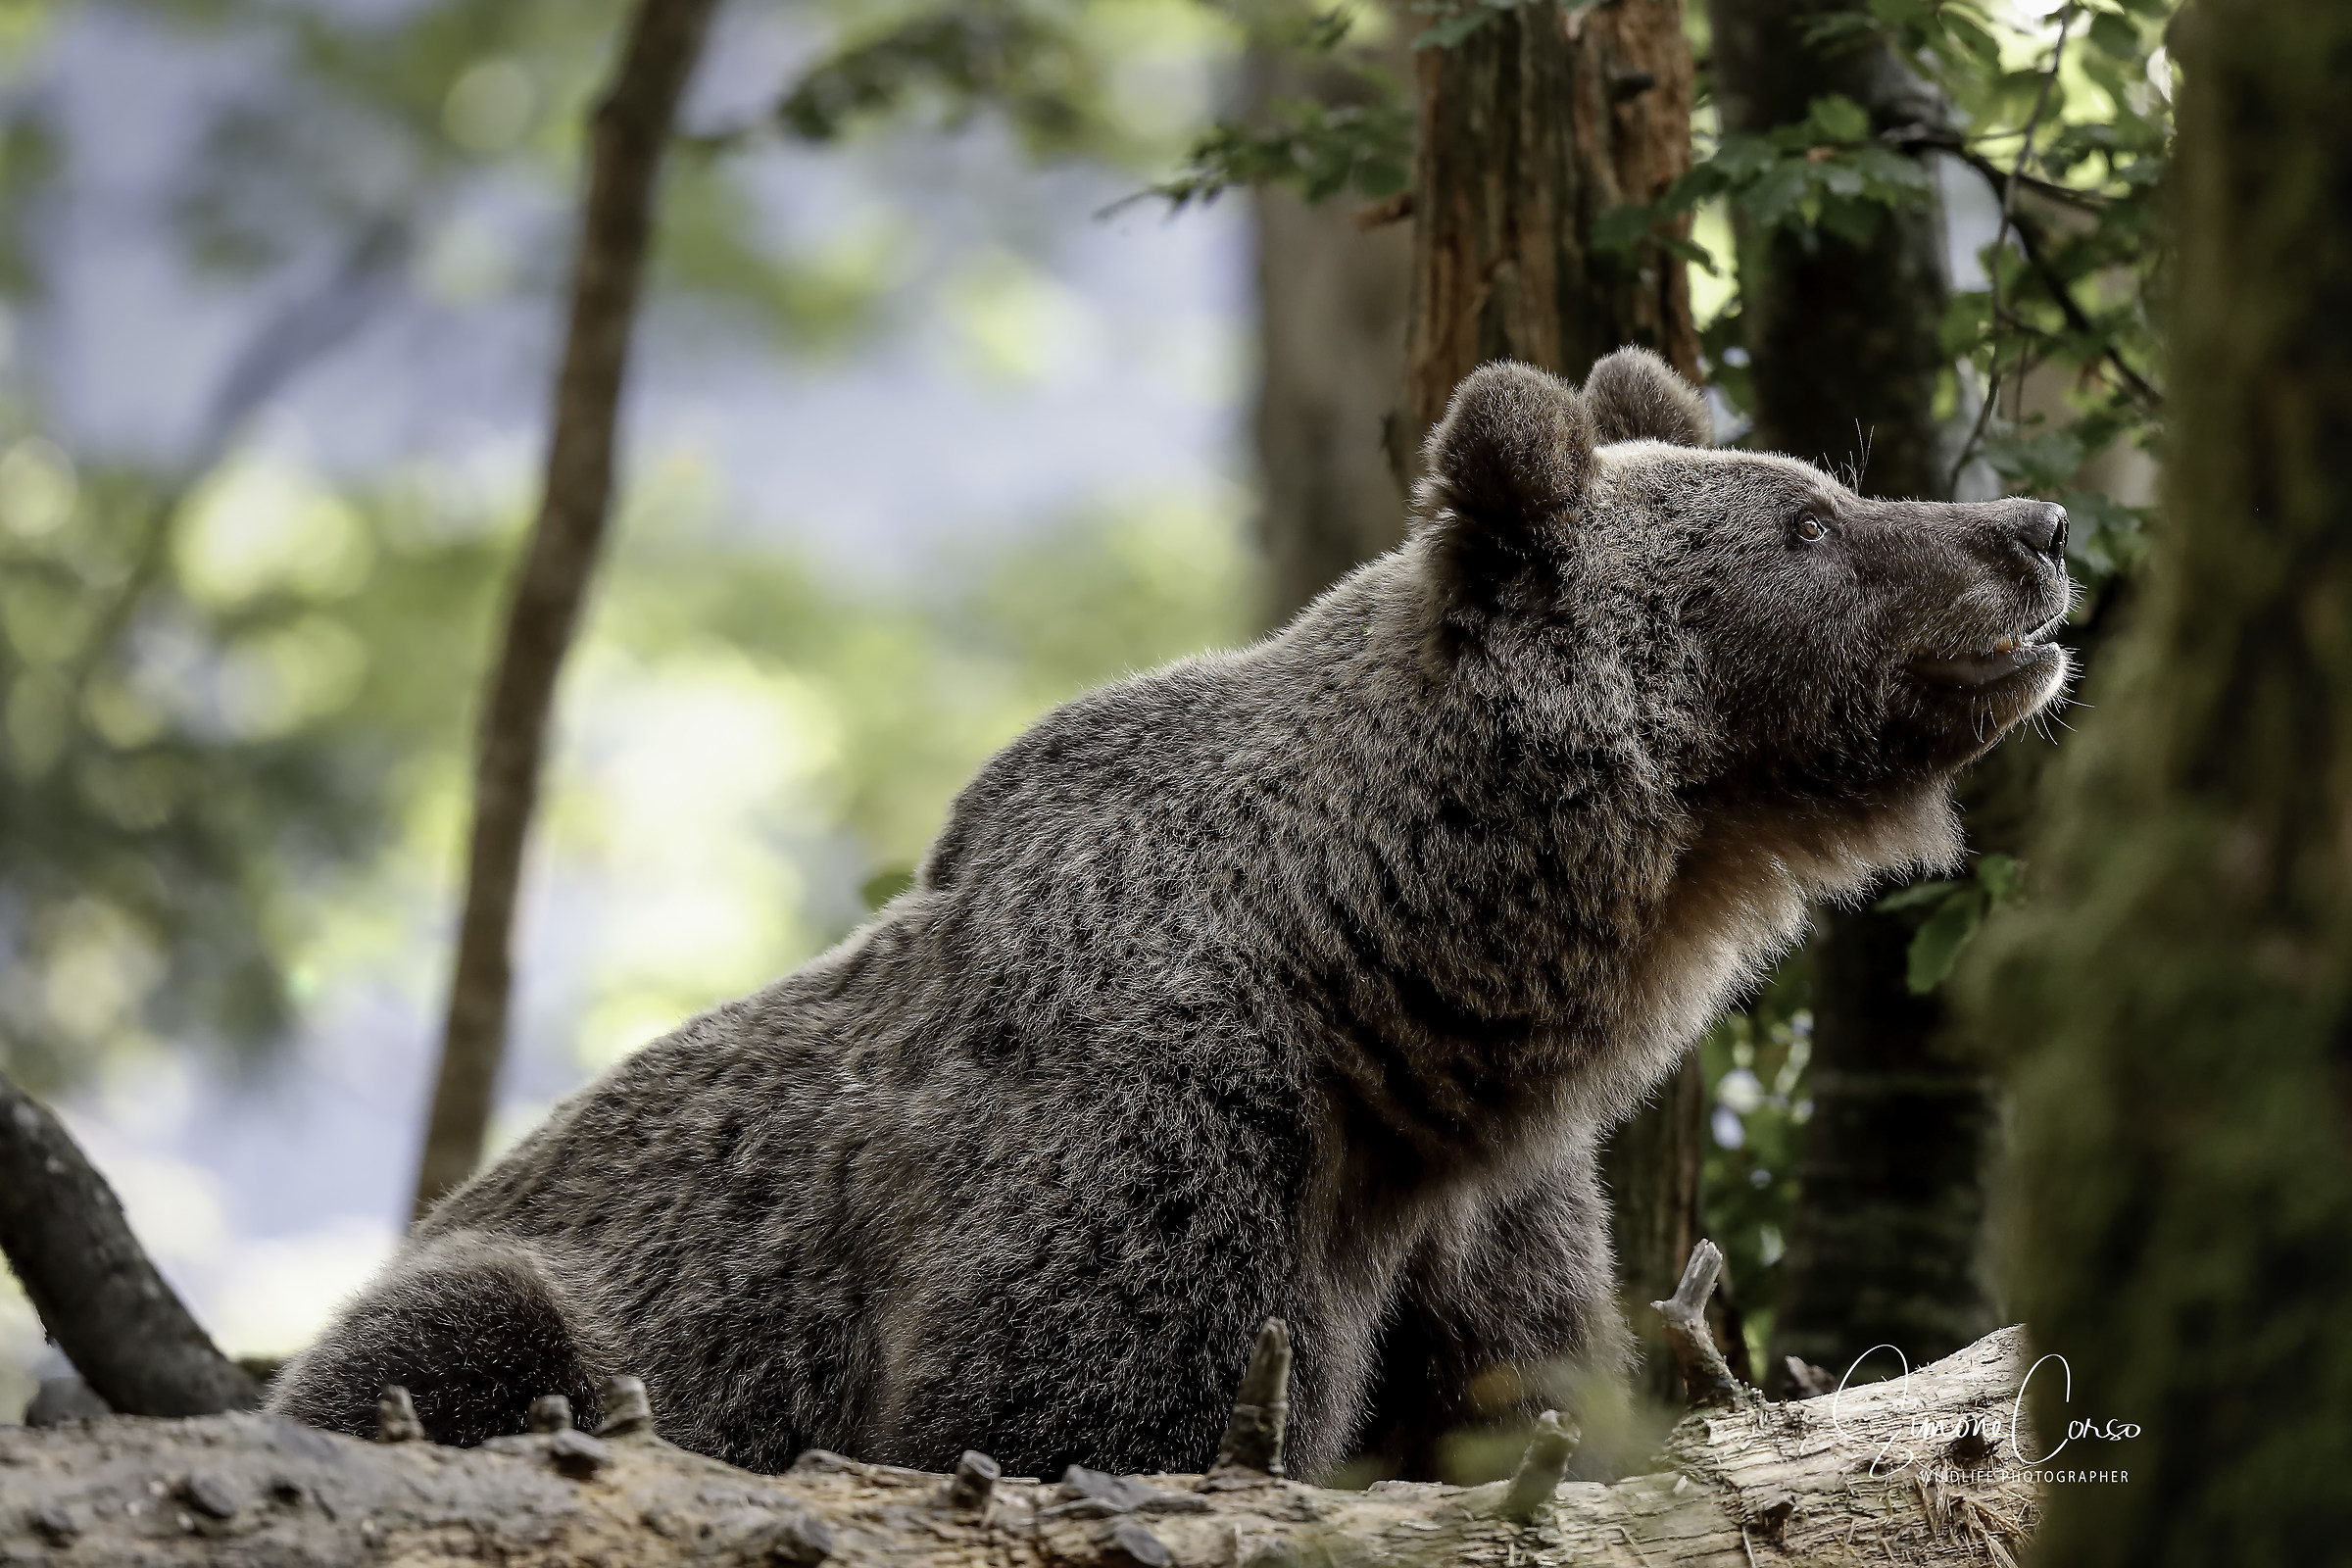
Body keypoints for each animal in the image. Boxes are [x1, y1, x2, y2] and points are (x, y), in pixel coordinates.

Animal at [269, 348, 2073, 1482]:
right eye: (1812, 521)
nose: (2034, 529)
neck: (1392, 986)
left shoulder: (1484, 1210)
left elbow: (1524, 1398)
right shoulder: (1165, 1138)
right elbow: (1079, 1413)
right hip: (555, 1300)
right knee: (461, 1334)